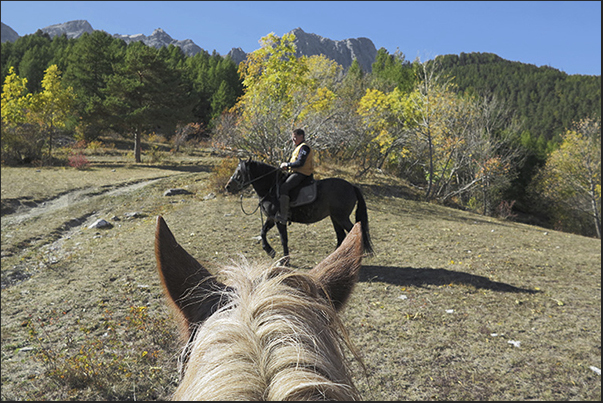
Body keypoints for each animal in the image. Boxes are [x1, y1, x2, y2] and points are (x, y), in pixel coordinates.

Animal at [225, 159, 372, 264]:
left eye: (239, 171)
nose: (228, 187)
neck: (271, 188)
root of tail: (352, 186)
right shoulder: (271, 219)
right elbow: (262, 232)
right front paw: (269, 251)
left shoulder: (279, 220)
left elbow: (283, 239)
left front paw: (284, 260)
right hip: (335, 218)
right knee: (341, 236)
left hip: (341, 218)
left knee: (353, 232)